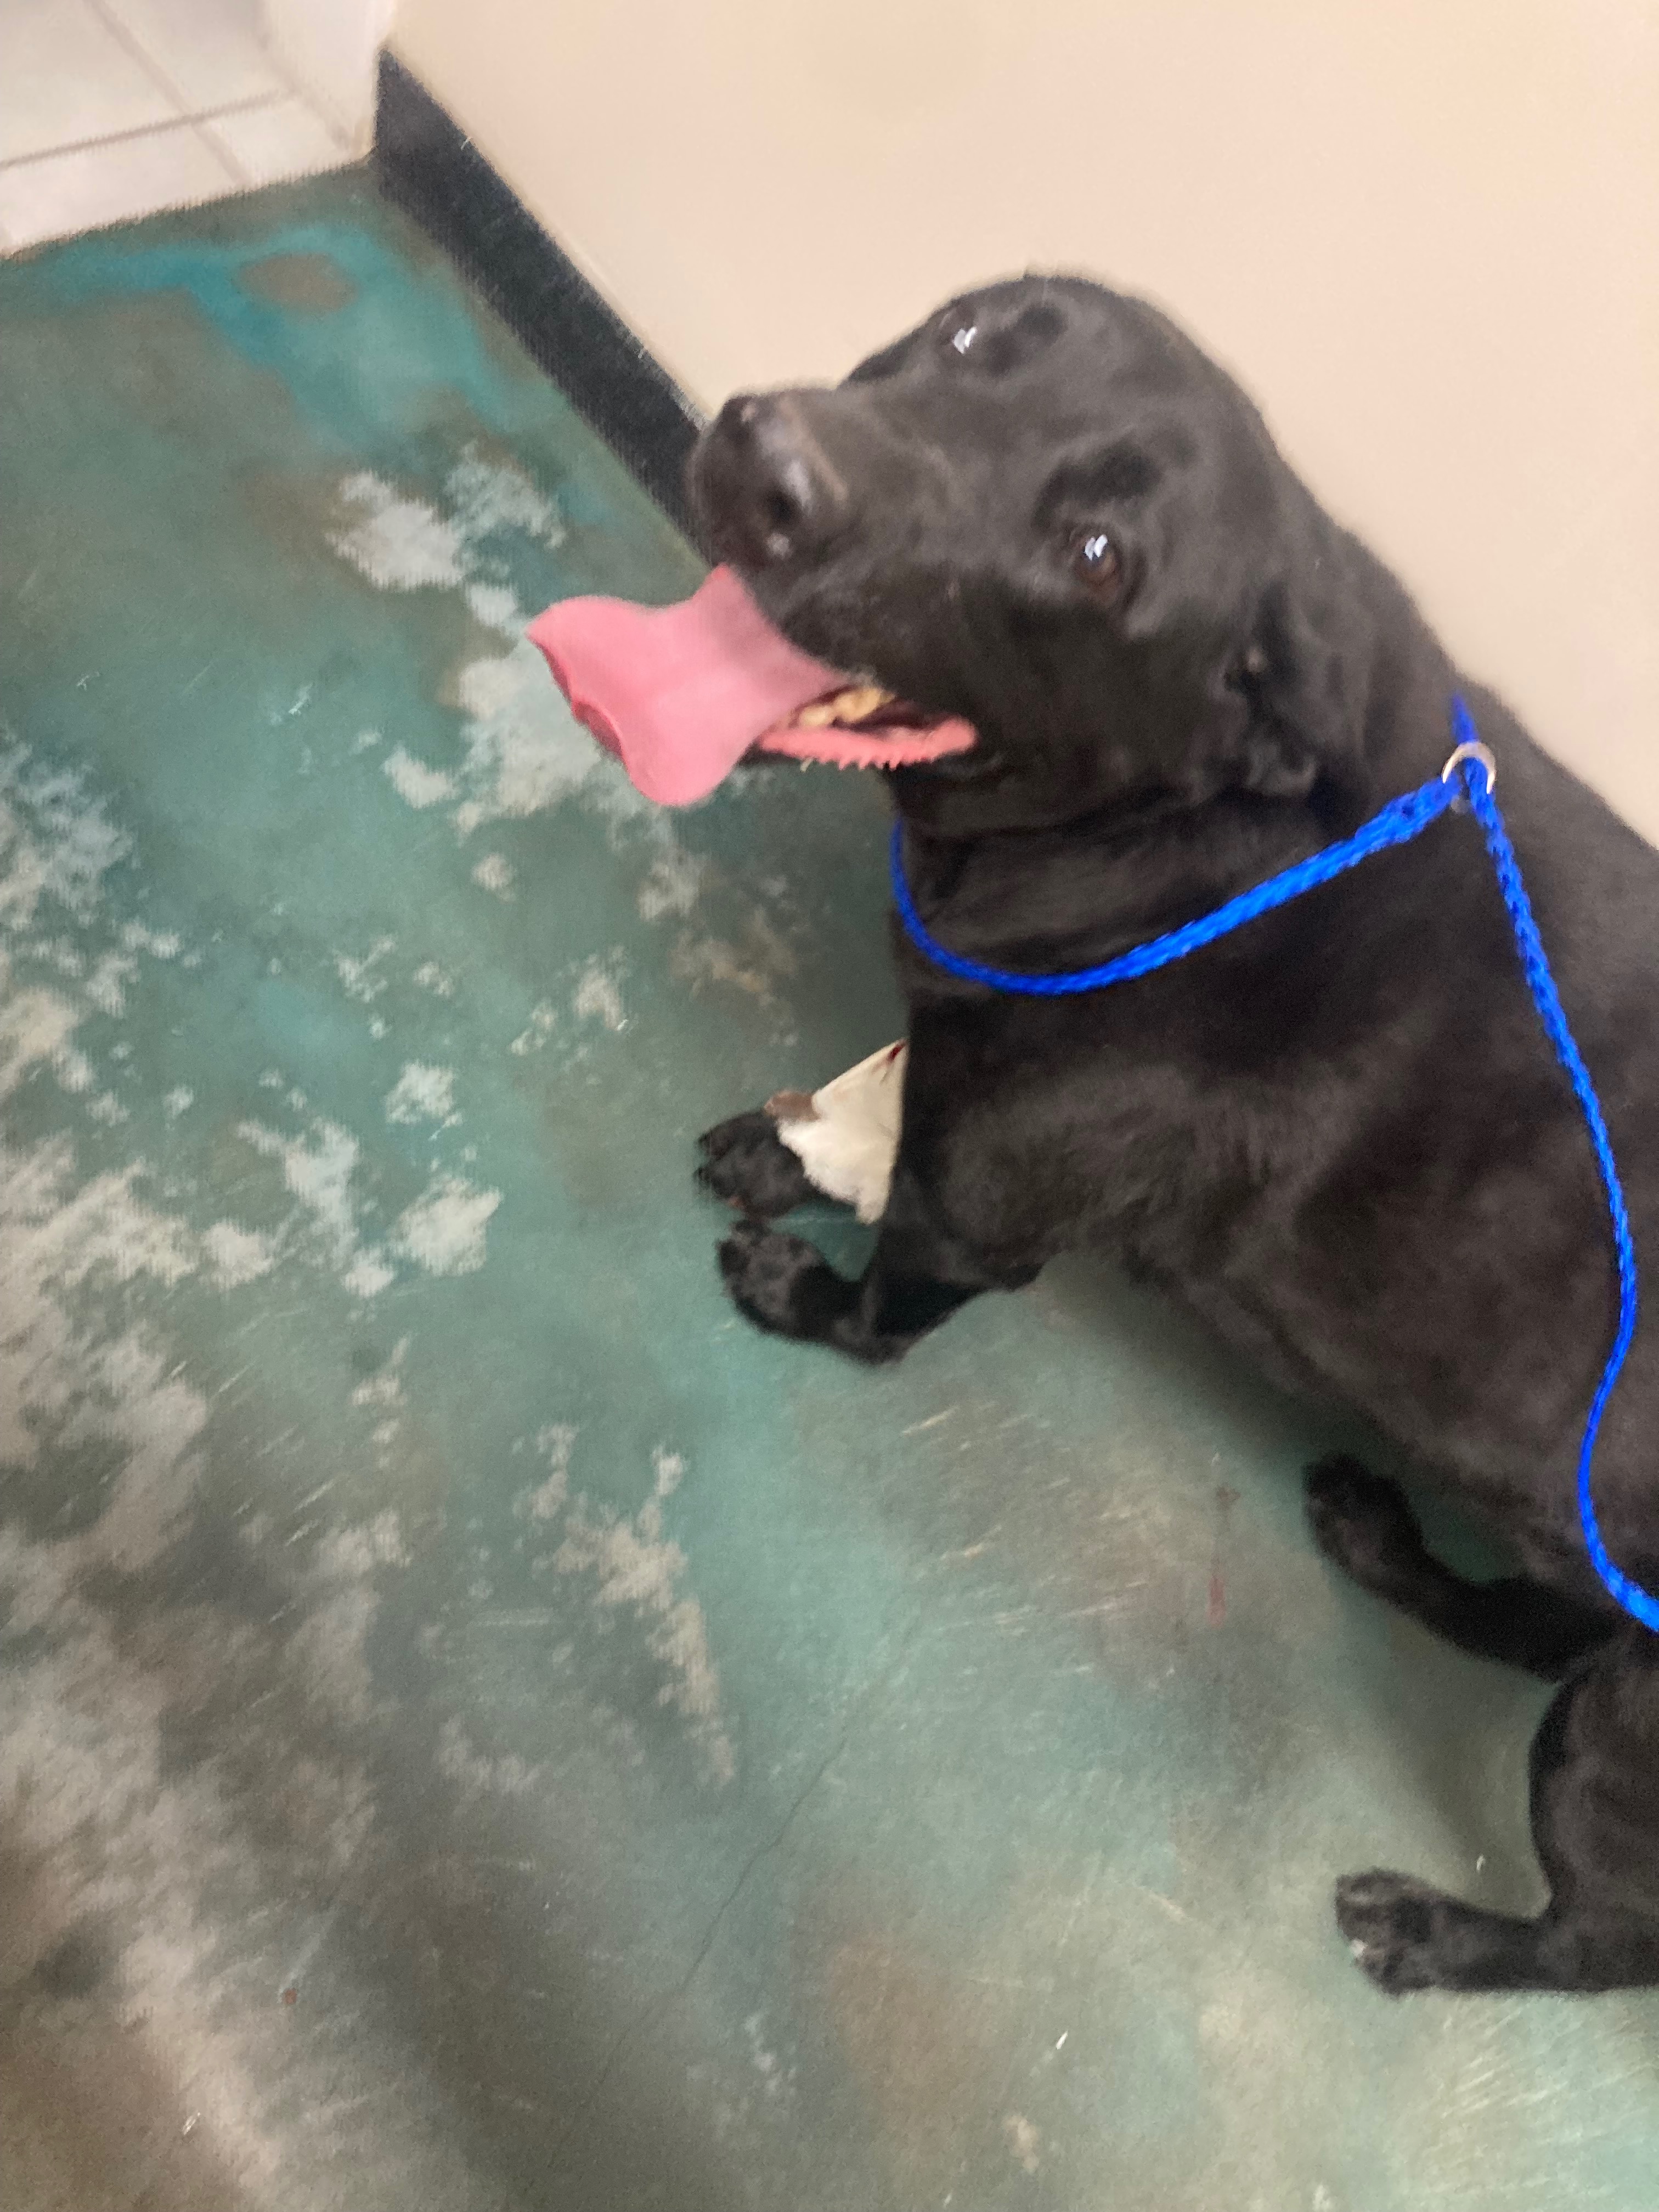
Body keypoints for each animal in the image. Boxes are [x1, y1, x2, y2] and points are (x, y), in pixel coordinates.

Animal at [684, 277, 1659, 1996]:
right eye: (974, 335)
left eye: (1099, 561)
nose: (767, 466)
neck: (1195, 839)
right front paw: (785, 1151)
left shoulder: (978, 1204)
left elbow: (882, 1306)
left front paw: (803, 1277)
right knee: (1536, 1624)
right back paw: (1390, 1552)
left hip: (1630, 1735)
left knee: (1605, 1935)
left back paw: (1442, 1934)